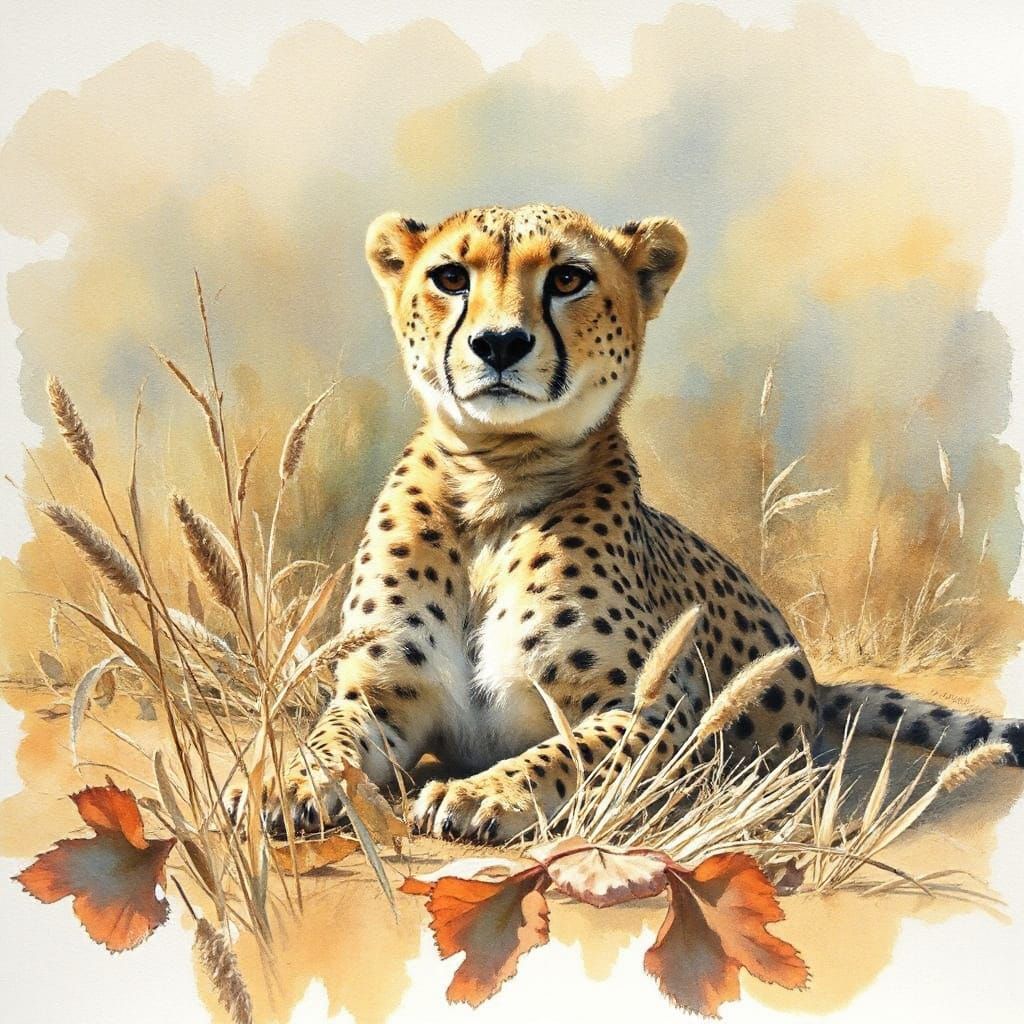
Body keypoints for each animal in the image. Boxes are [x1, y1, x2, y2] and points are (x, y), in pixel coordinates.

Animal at [246, 203, 1024, 844]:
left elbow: (563, 751)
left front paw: (482, 794)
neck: (496, 480)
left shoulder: (659, 711)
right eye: (449, 276)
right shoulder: (382, 692)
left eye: (567, 278)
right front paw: (285, 782)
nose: (499, 343)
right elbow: (329, 734)